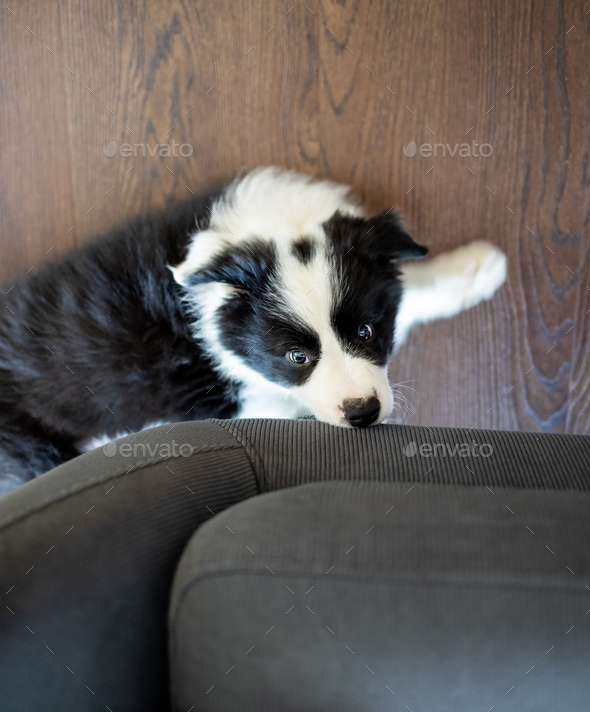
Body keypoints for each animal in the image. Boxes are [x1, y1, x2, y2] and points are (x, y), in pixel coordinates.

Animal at [0, 167, 508, 492]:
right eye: (297, 357)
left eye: (366, 332)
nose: (363, 413)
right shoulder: (219, 402)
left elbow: (404, 293)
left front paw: (471, 272)